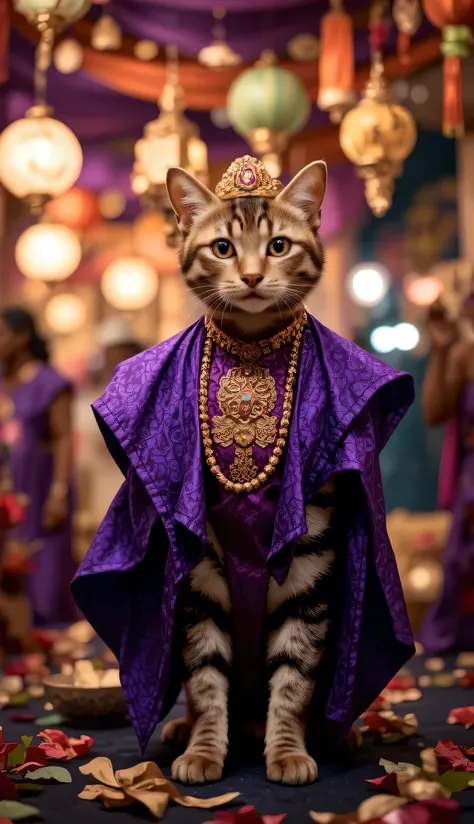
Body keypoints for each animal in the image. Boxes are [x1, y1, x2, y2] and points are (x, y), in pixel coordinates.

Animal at [161, 159, 358, 784]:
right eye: (223, 247)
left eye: (278, 246)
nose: (249, 277)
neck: (249, 358)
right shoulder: (198, 568)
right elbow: (204, 677)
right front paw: (203, 750)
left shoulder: (309, 562)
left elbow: (294, 677)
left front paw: (289, 751)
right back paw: (182, 729)